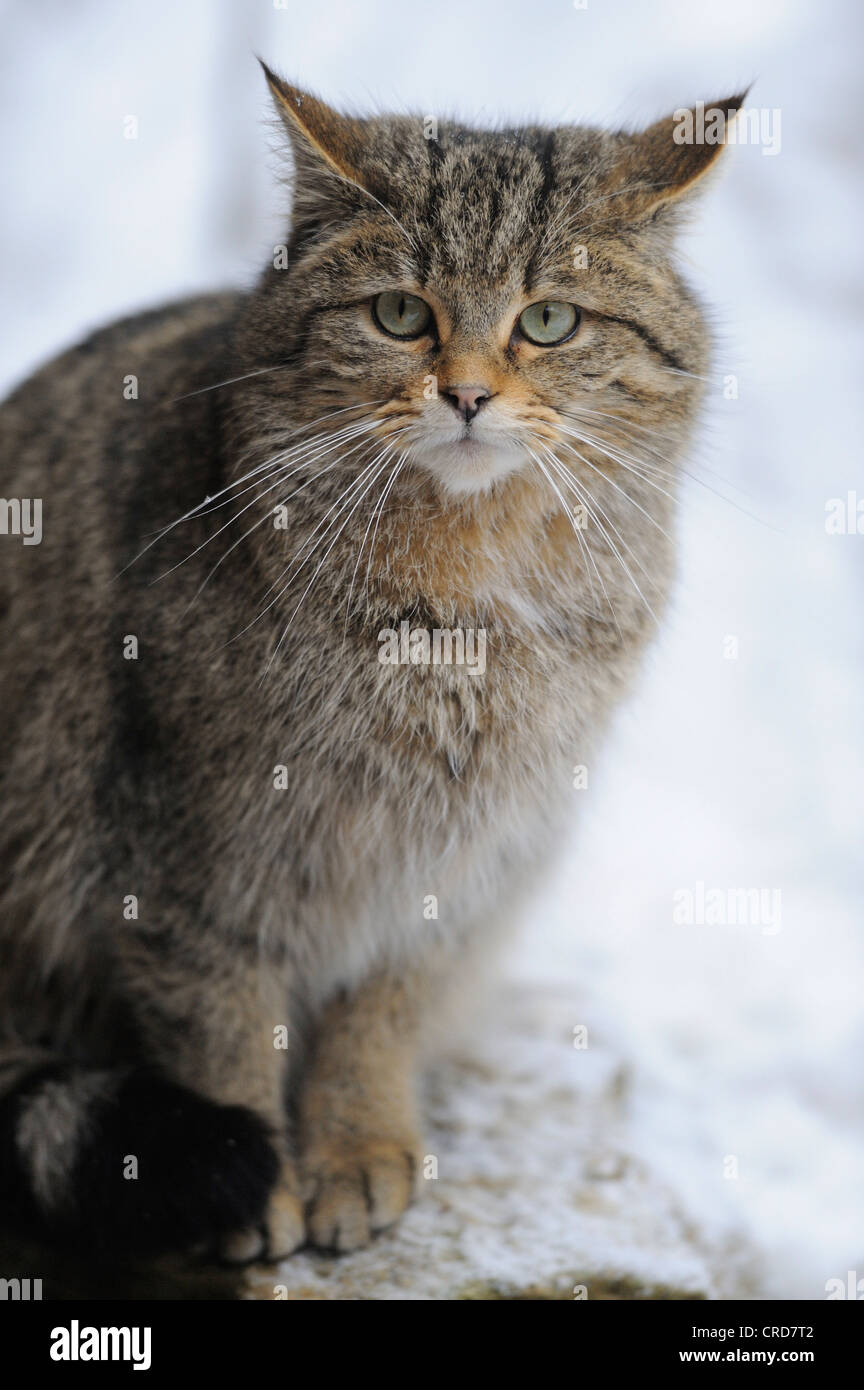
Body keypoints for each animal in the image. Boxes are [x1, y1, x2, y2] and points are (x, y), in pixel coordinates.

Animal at [0, 62, 744, 1262]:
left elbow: (379, 1021)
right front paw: (260, 1178)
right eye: (400, 313)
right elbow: (218, 1027)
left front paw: (357, 1144)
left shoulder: (460, 870)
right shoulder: (192, 857)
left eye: (549, 320)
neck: (462, 606)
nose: (468, 393)